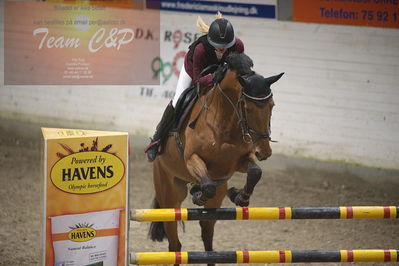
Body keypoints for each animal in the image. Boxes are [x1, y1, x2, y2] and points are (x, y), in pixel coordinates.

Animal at [150, 53, 284, 264]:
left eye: (272, 106)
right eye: (246, 107)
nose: (264, 152)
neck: (224, 121)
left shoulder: (237, 162)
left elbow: (255, 172)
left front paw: (240, 196)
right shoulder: (192, 158)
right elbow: (208, 185)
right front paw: (199, 195)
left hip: (214, 203)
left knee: (207, 235)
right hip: (170, 197)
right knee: (175, 244)